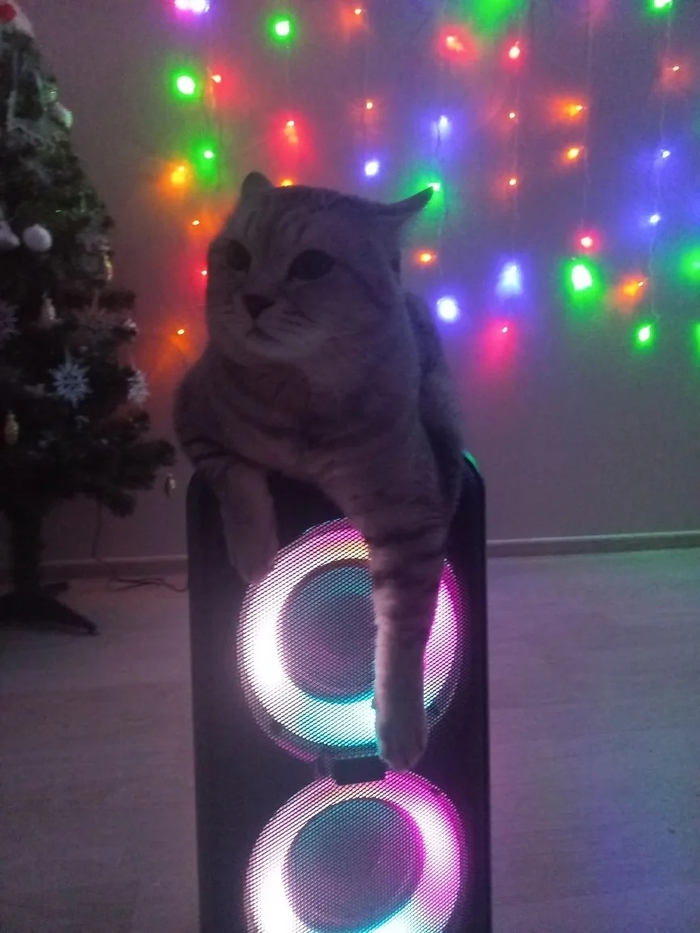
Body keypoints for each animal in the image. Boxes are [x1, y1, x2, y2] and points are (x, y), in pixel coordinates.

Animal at [175, 171, 465, 771]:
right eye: (236, 256)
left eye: (311, 265)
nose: (252, 299)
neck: (300, 391)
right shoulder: (193, 415)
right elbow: (234, 475)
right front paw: (255, 551)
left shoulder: (408, 516)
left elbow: (405, 630)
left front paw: (399, 724)